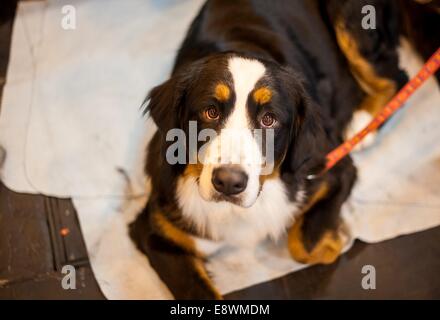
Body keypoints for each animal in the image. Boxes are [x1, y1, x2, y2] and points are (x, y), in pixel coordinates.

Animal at [131, 0, 440, 300]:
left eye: (269, 119)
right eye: (210, 112)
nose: (229, 182)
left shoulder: (333, 169)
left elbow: (305, 246)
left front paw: (332, 243)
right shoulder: (156, 232)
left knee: (396, 76)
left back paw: (363, 124)